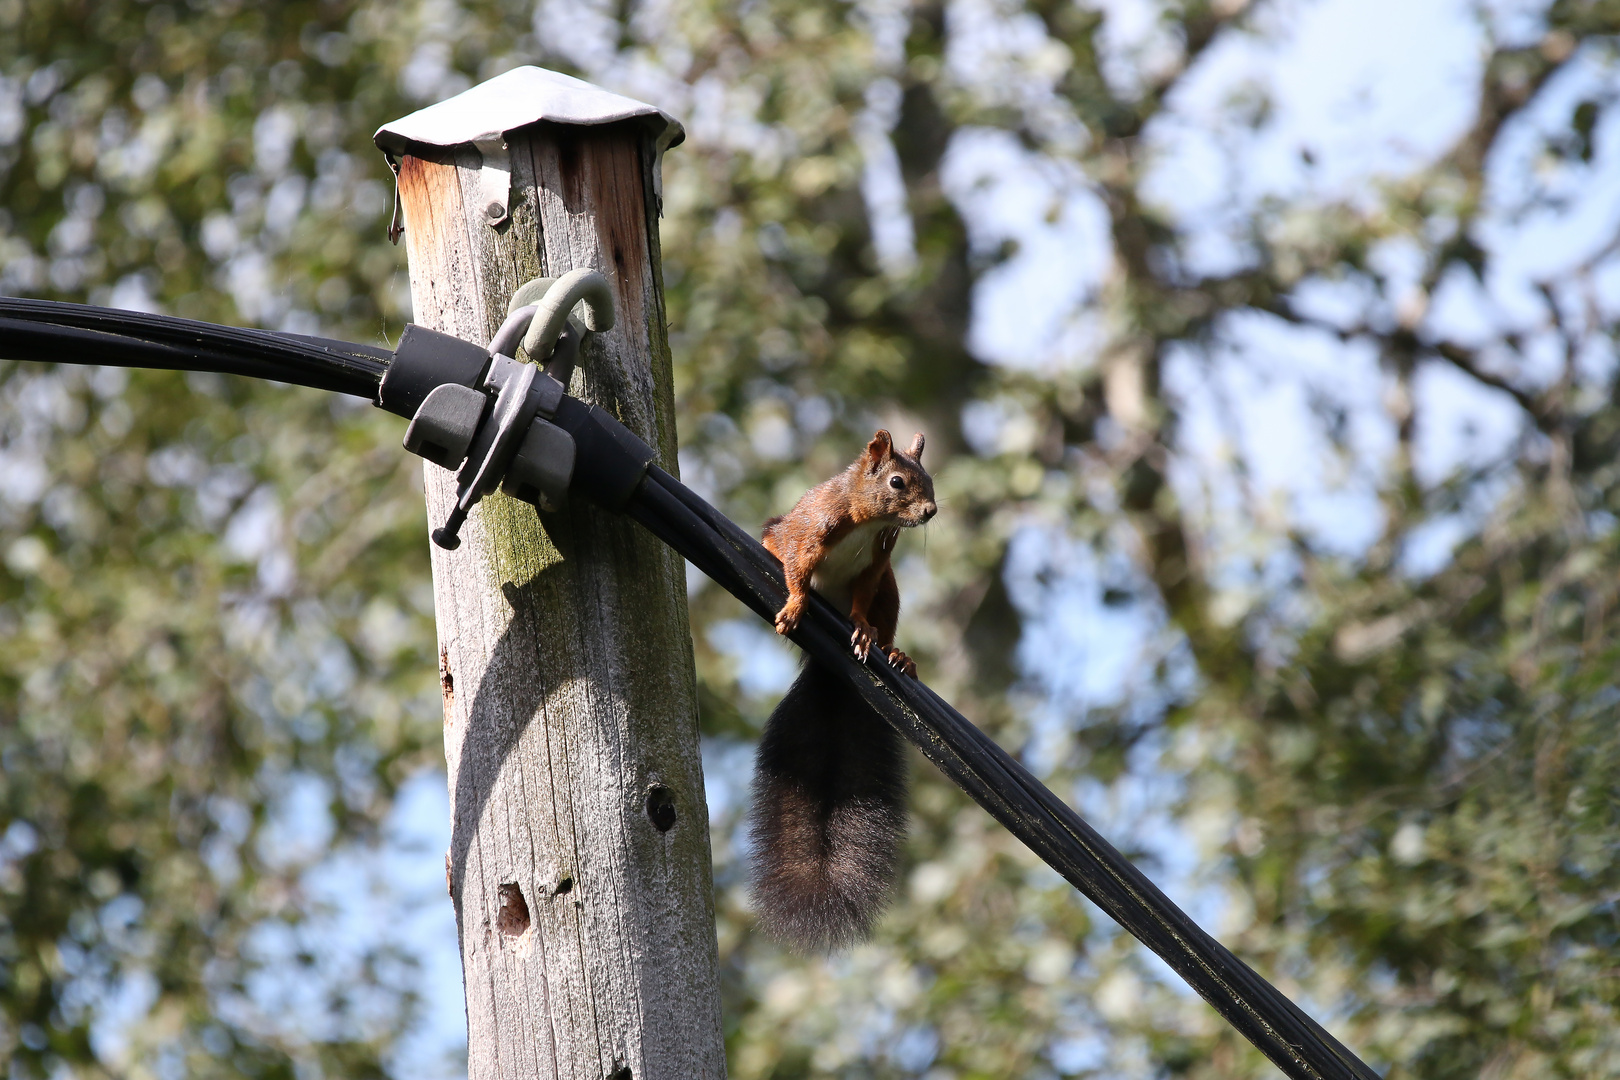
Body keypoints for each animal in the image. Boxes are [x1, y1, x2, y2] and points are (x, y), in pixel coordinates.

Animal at [745, 427, 939, 952]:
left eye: (930, 479)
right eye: (897, 482)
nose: (931, 511)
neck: (869, 522)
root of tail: (827, 670)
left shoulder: (877, 565)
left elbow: (861, 601)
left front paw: (863, 630)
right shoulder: (809, 530)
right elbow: (796, 566)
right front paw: (795, 604)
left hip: (891, 587)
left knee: (884, 613)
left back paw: (895, 654)